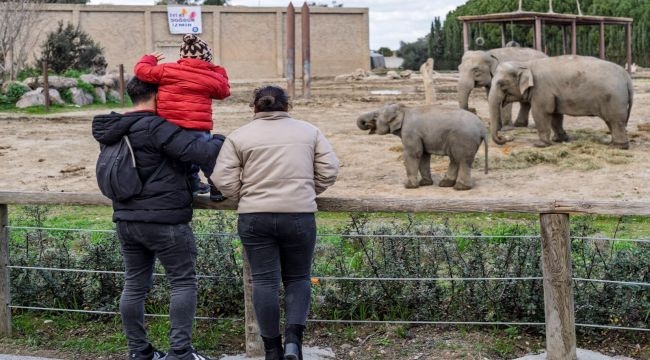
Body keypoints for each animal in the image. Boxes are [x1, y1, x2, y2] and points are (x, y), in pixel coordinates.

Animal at [354, 102, 486, 190]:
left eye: (376, 115)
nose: (366, 123)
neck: (404, 108)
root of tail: (482, 128)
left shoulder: (410, 132)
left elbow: (413, 153)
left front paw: (408, 186)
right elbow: (423, 155)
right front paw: (425, 184)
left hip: (464, 139)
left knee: (462, 160)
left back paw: (460, 188)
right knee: (455, 159)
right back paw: (445, 184)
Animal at [488, 53, 632, 149]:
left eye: (501, 84)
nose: (506, 138)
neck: (526, 64)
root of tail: (627, 77)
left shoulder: (542, 89)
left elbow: (540, 113)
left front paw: (540, 145)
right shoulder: (553, 94)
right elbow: (555, 115)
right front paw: (559, 139)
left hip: (614, 99)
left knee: (615, 121)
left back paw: (619, 146)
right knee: (611, 122)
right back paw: (613, 143)